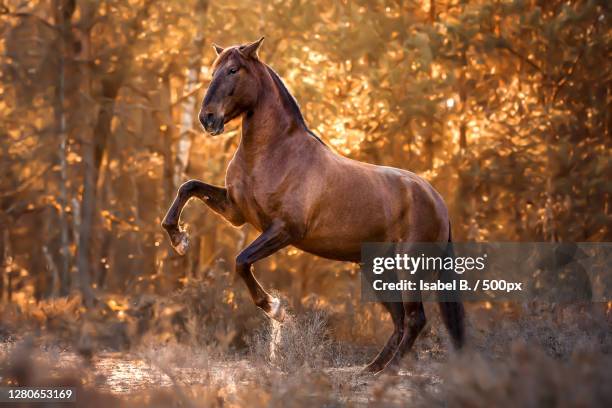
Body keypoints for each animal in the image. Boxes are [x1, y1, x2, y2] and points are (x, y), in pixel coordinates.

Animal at [163, 37, 464, 372]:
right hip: (376, 269)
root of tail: (437, 200)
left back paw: (389, 371)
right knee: (400, 321)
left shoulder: (284, 230)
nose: (208, 119)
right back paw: (372, 369)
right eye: (213, 70)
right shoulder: (235, 212)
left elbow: (241, 261)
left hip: (408, 265)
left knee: (414, 319)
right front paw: (179, 240)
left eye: (232, 70)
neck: (273, 153)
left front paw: (275, 308)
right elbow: (188, 187)